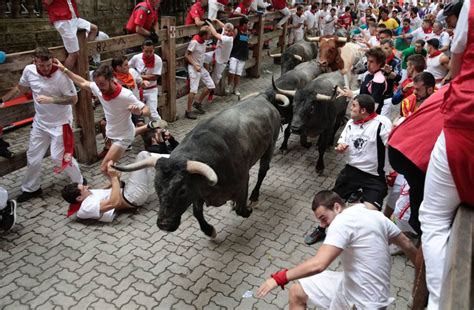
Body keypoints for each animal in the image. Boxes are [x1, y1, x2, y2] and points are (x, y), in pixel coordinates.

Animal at [112, 95, 280, 236]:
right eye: (156, 187)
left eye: (182, 190)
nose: (164, 225)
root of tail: (263, 99)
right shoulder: (198, 190)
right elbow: (197, 212)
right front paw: (209, 230)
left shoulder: (243, 180)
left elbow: (241, 208)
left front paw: (247, 209)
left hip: (270, 146)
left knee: (263, 171)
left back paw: (255, 197)